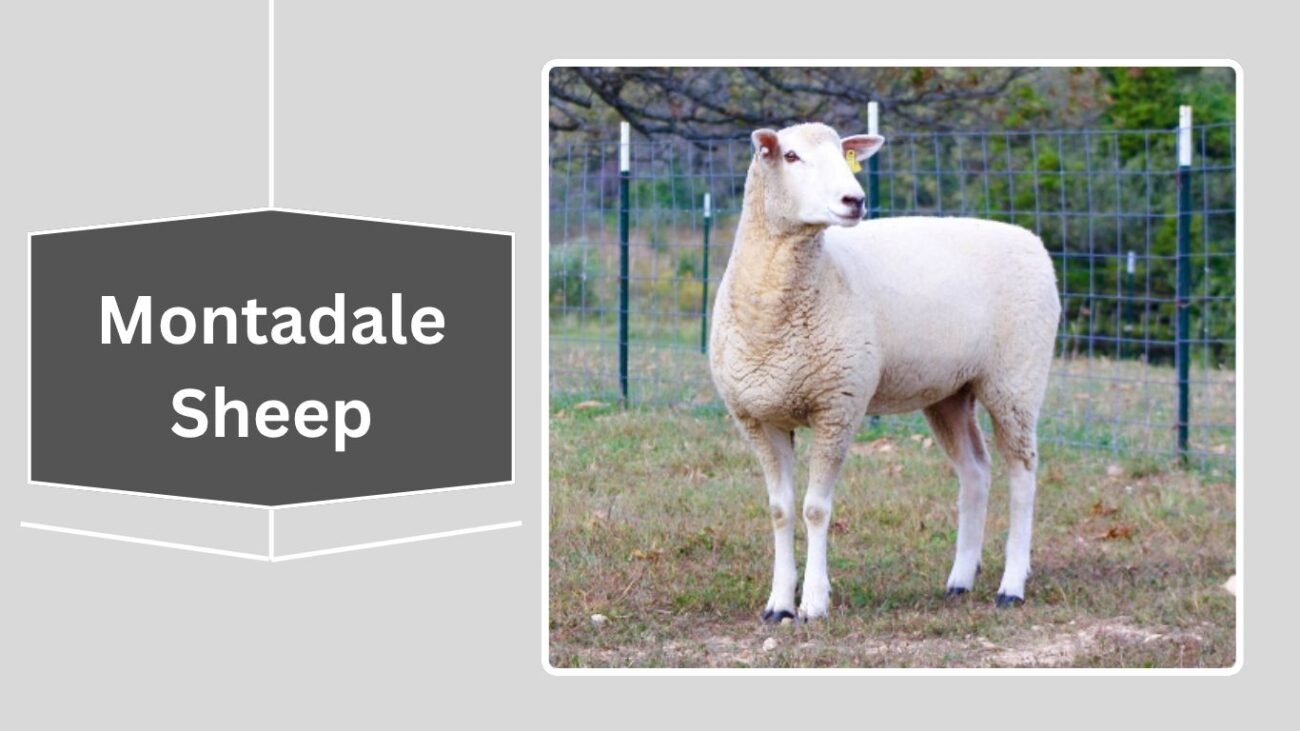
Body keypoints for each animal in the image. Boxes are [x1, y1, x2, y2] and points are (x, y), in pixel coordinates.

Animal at [708, 123, 1060, 622]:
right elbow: (780, 510)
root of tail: (1029, 238)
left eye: (844, 154)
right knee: (975, 470)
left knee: (1022, 474)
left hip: (1016, 377)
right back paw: (960, 579)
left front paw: (814, 602)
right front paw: (778, 603)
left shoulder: (838, 405)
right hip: (950, 390)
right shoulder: (757, 416)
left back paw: (1012, 585)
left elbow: (815, 510)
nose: (854, 200)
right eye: (790, 156)